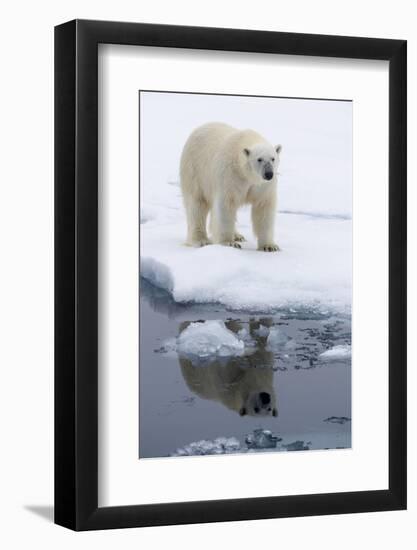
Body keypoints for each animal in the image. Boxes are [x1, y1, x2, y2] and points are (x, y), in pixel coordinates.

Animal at [180, 123, 282, 252]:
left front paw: (269, 246)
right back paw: (201, 240)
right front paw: (229, 243)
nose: (269, 174)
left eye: (273, 158)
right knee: (196, 204)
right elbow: (226, 205)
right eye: (259, 159)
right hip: (195, 171)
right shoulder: (230, 175)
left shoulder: (263, 185)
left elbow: (264, 207)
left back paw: (238, 235)